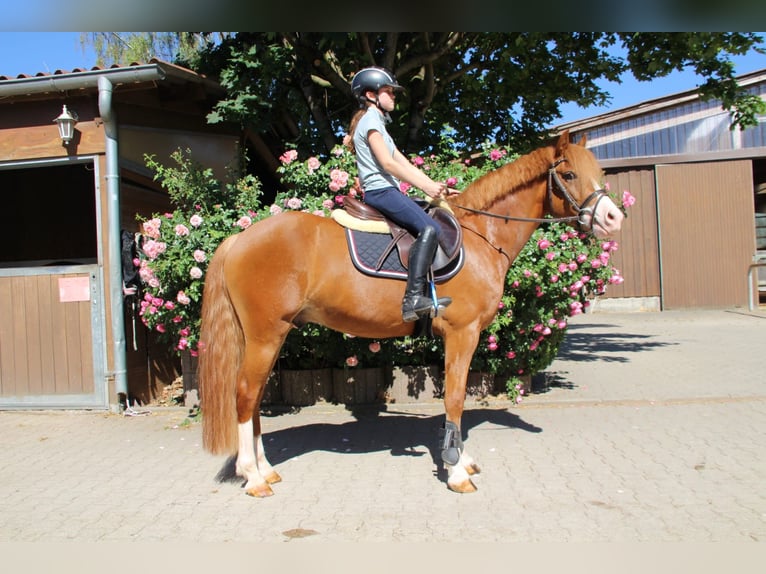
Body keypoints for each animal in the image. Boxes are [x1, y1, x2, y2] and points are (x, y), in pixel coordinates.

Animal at [198, 130, 624, 496]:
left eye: (600, 173)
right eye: (568, 174)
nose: (613, 218)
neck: (480, 236)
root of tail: (241, 238)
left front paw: (461, 458)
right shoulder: (463, 333)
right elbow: (455, 398)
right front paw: (455, 470)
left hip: (269, 336)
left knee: (254, 398)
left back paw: (265, 468)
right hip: (265, 335)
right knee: (245, 394)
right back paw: (253, 477)